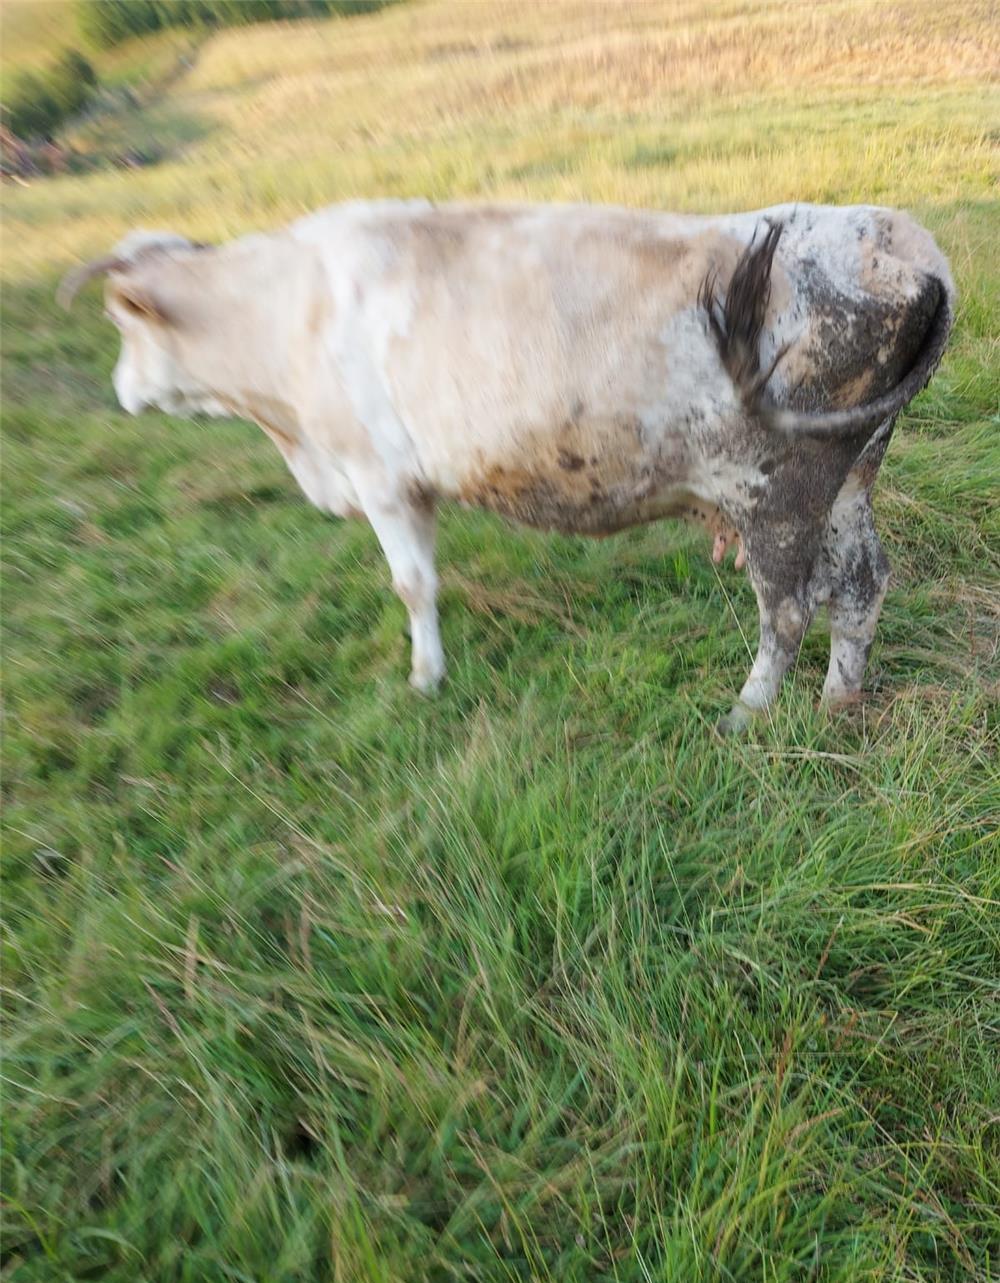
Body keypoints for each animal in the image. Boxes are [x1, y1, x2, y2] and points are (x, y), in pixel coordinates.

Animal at [59, 200, 954, 731]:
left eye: (122, 322)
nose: (121, 390)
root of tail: (898, 240)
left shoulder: (382, 478)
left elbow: (412, 585)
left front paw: (424, 678)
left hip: (778, 495)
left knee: (790, 609)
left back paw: (747, 711)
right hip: (850, 475)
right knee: (862, 582)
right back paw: (839, 700)